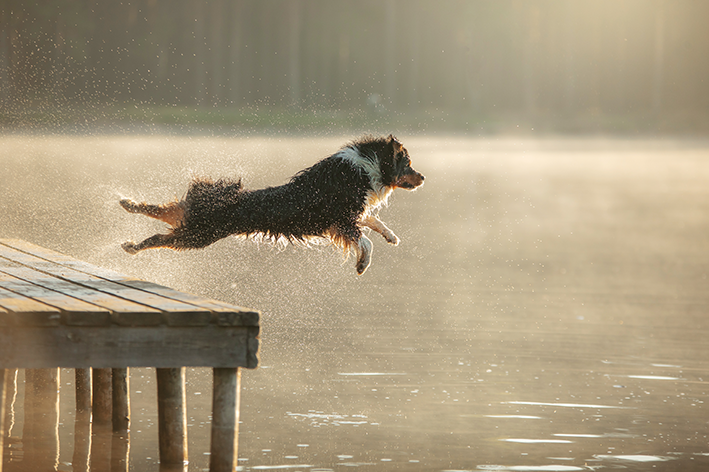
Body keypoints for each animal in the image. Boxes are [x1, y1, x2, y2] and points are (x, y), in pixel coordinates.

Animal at [119, 135, 424, 274]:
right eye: (408, 164)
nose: (422, 177)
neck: (363, 168)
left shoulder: (349, 216)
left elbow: (373, 220)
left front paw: (391, 237)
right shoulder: (341, 221)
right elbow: (365, 240)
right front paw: (362, 265)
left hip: (191, 221)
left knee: (163, 210)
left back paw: (128, 203)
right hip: (197, 236)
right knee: (159, 236)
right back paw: (132, 246)